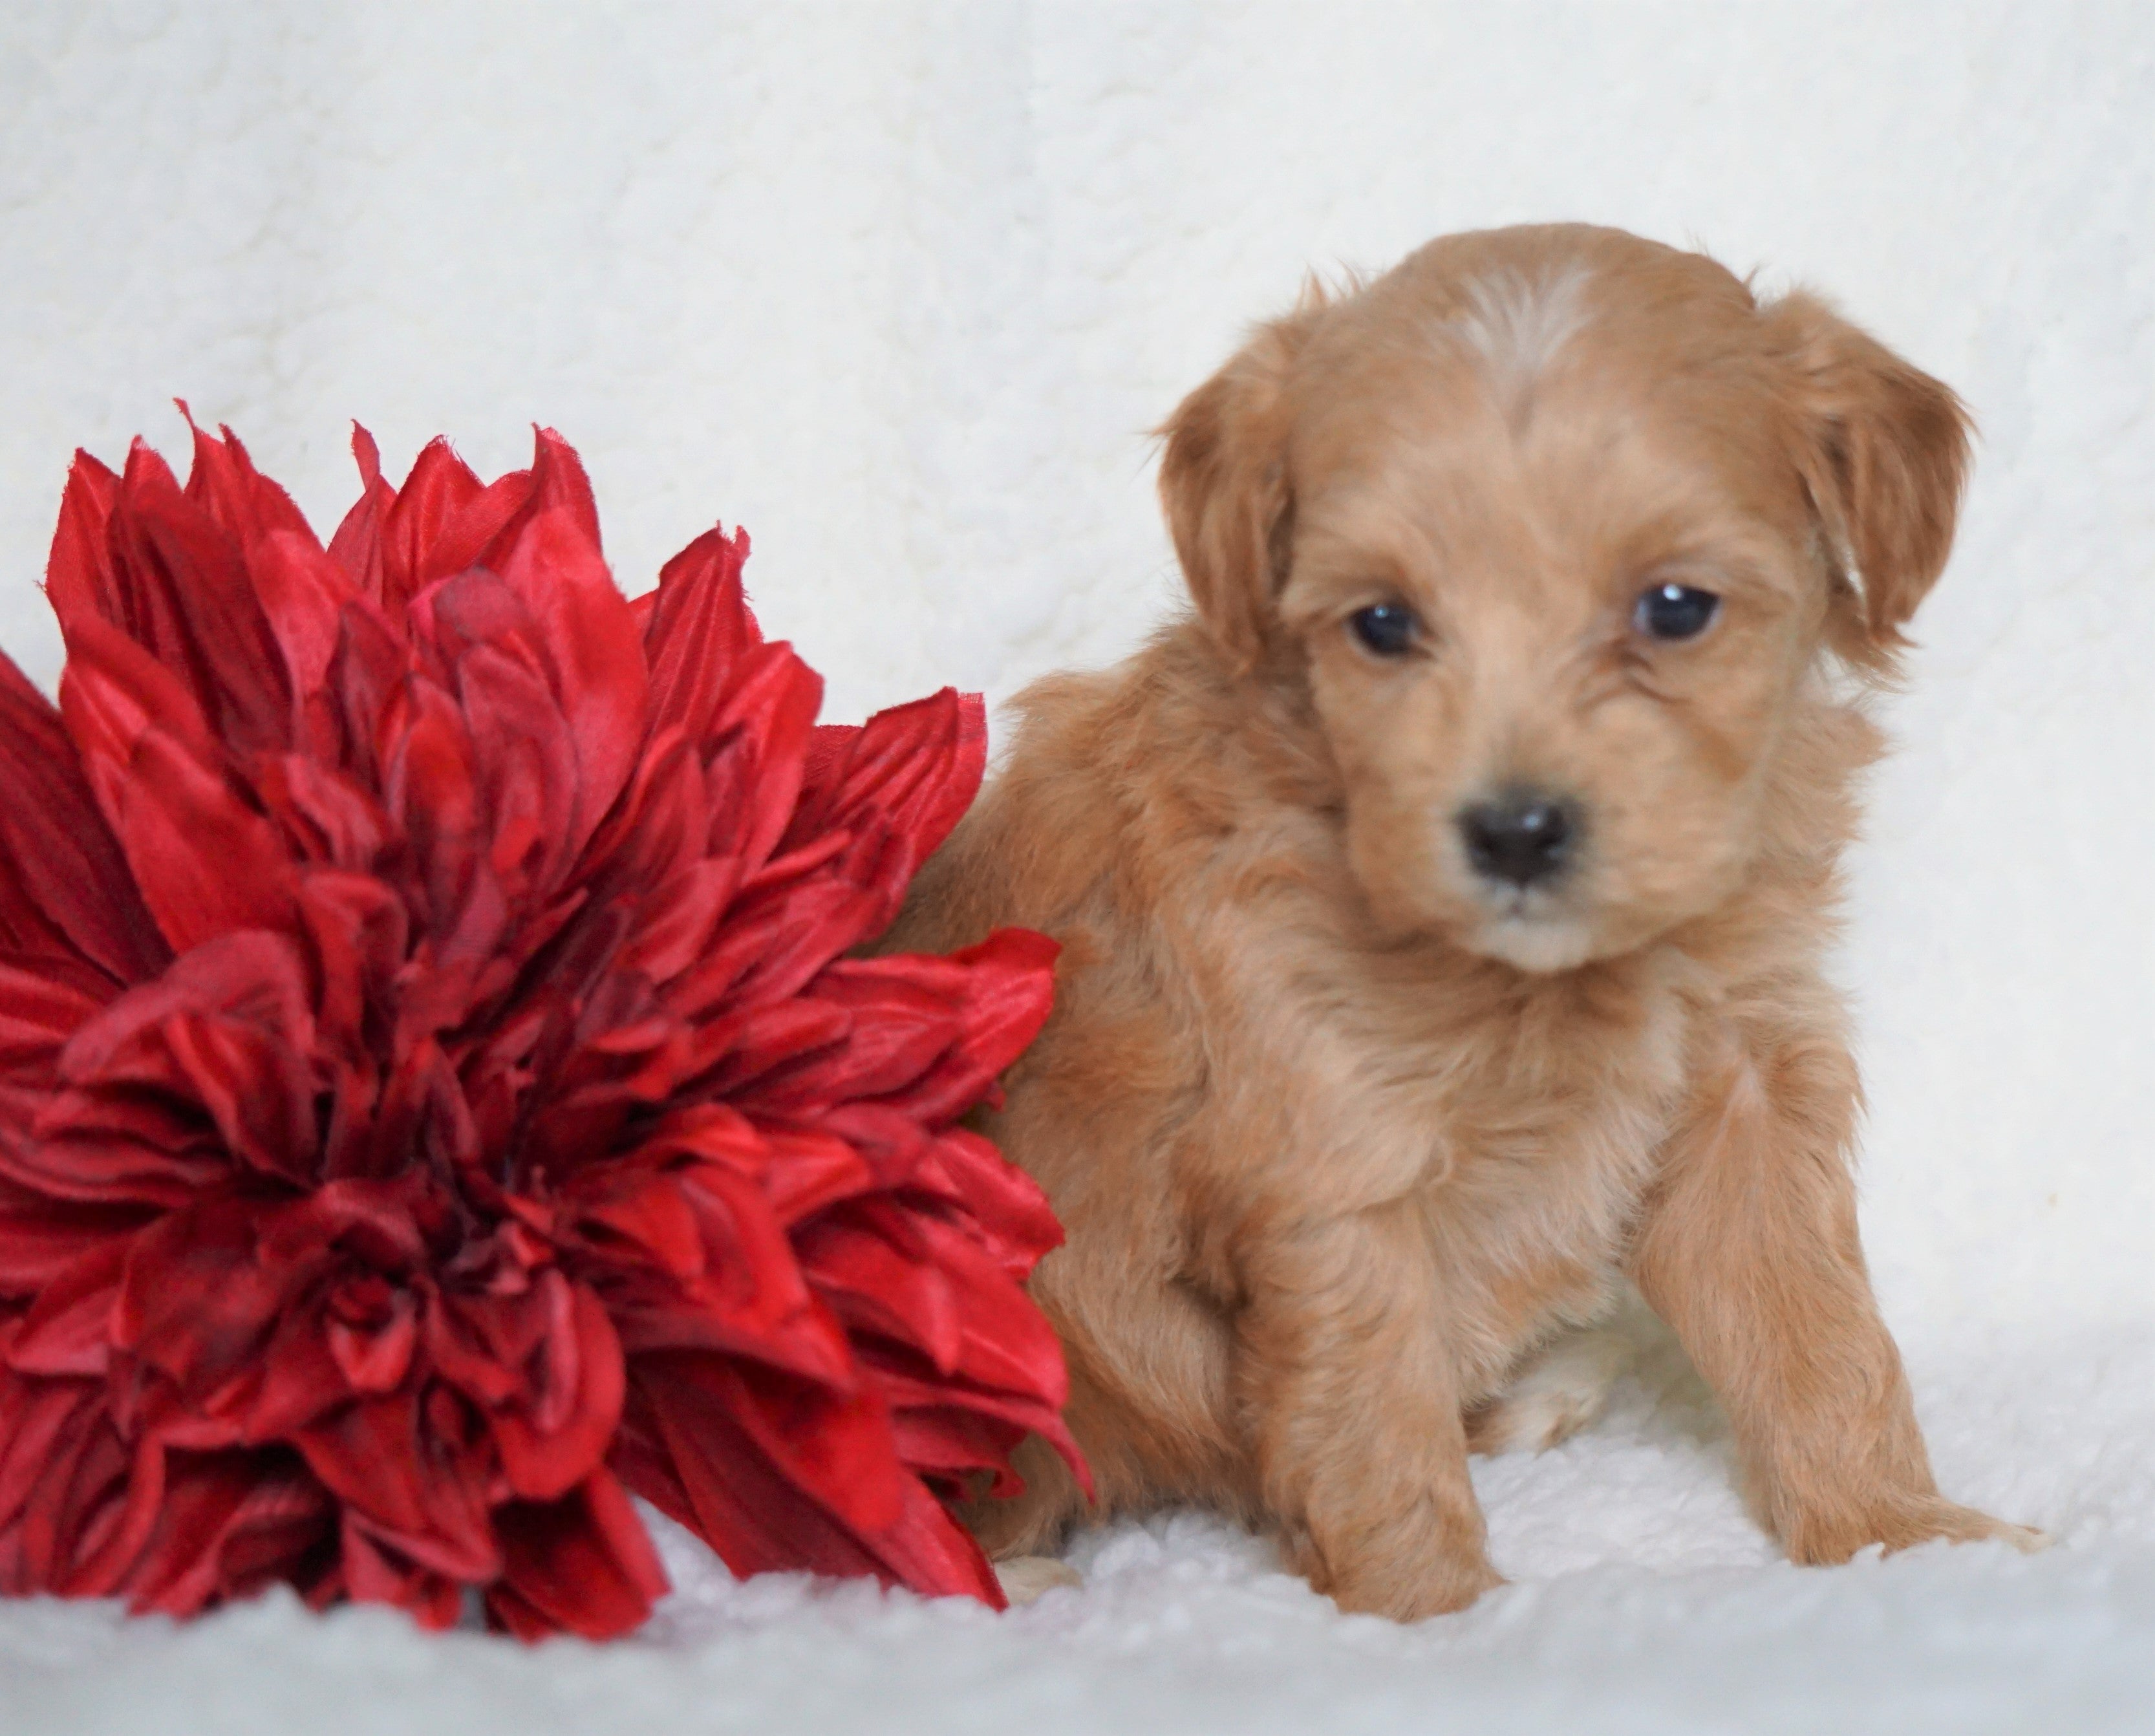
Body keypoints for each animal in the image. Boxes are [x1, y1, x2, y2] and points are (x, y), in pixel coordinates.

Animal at [879, 224, 2034, 1628]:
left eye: (1674, 607)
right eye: (1382, 622)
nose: (1516, 830)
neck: (1552, 978)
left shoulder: (1745, 1085)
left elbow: (1813, 1327)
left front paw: (1895, 1536)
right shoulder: (1329, 1160)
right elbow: (1370, 1418)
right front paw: (1437, 1613)